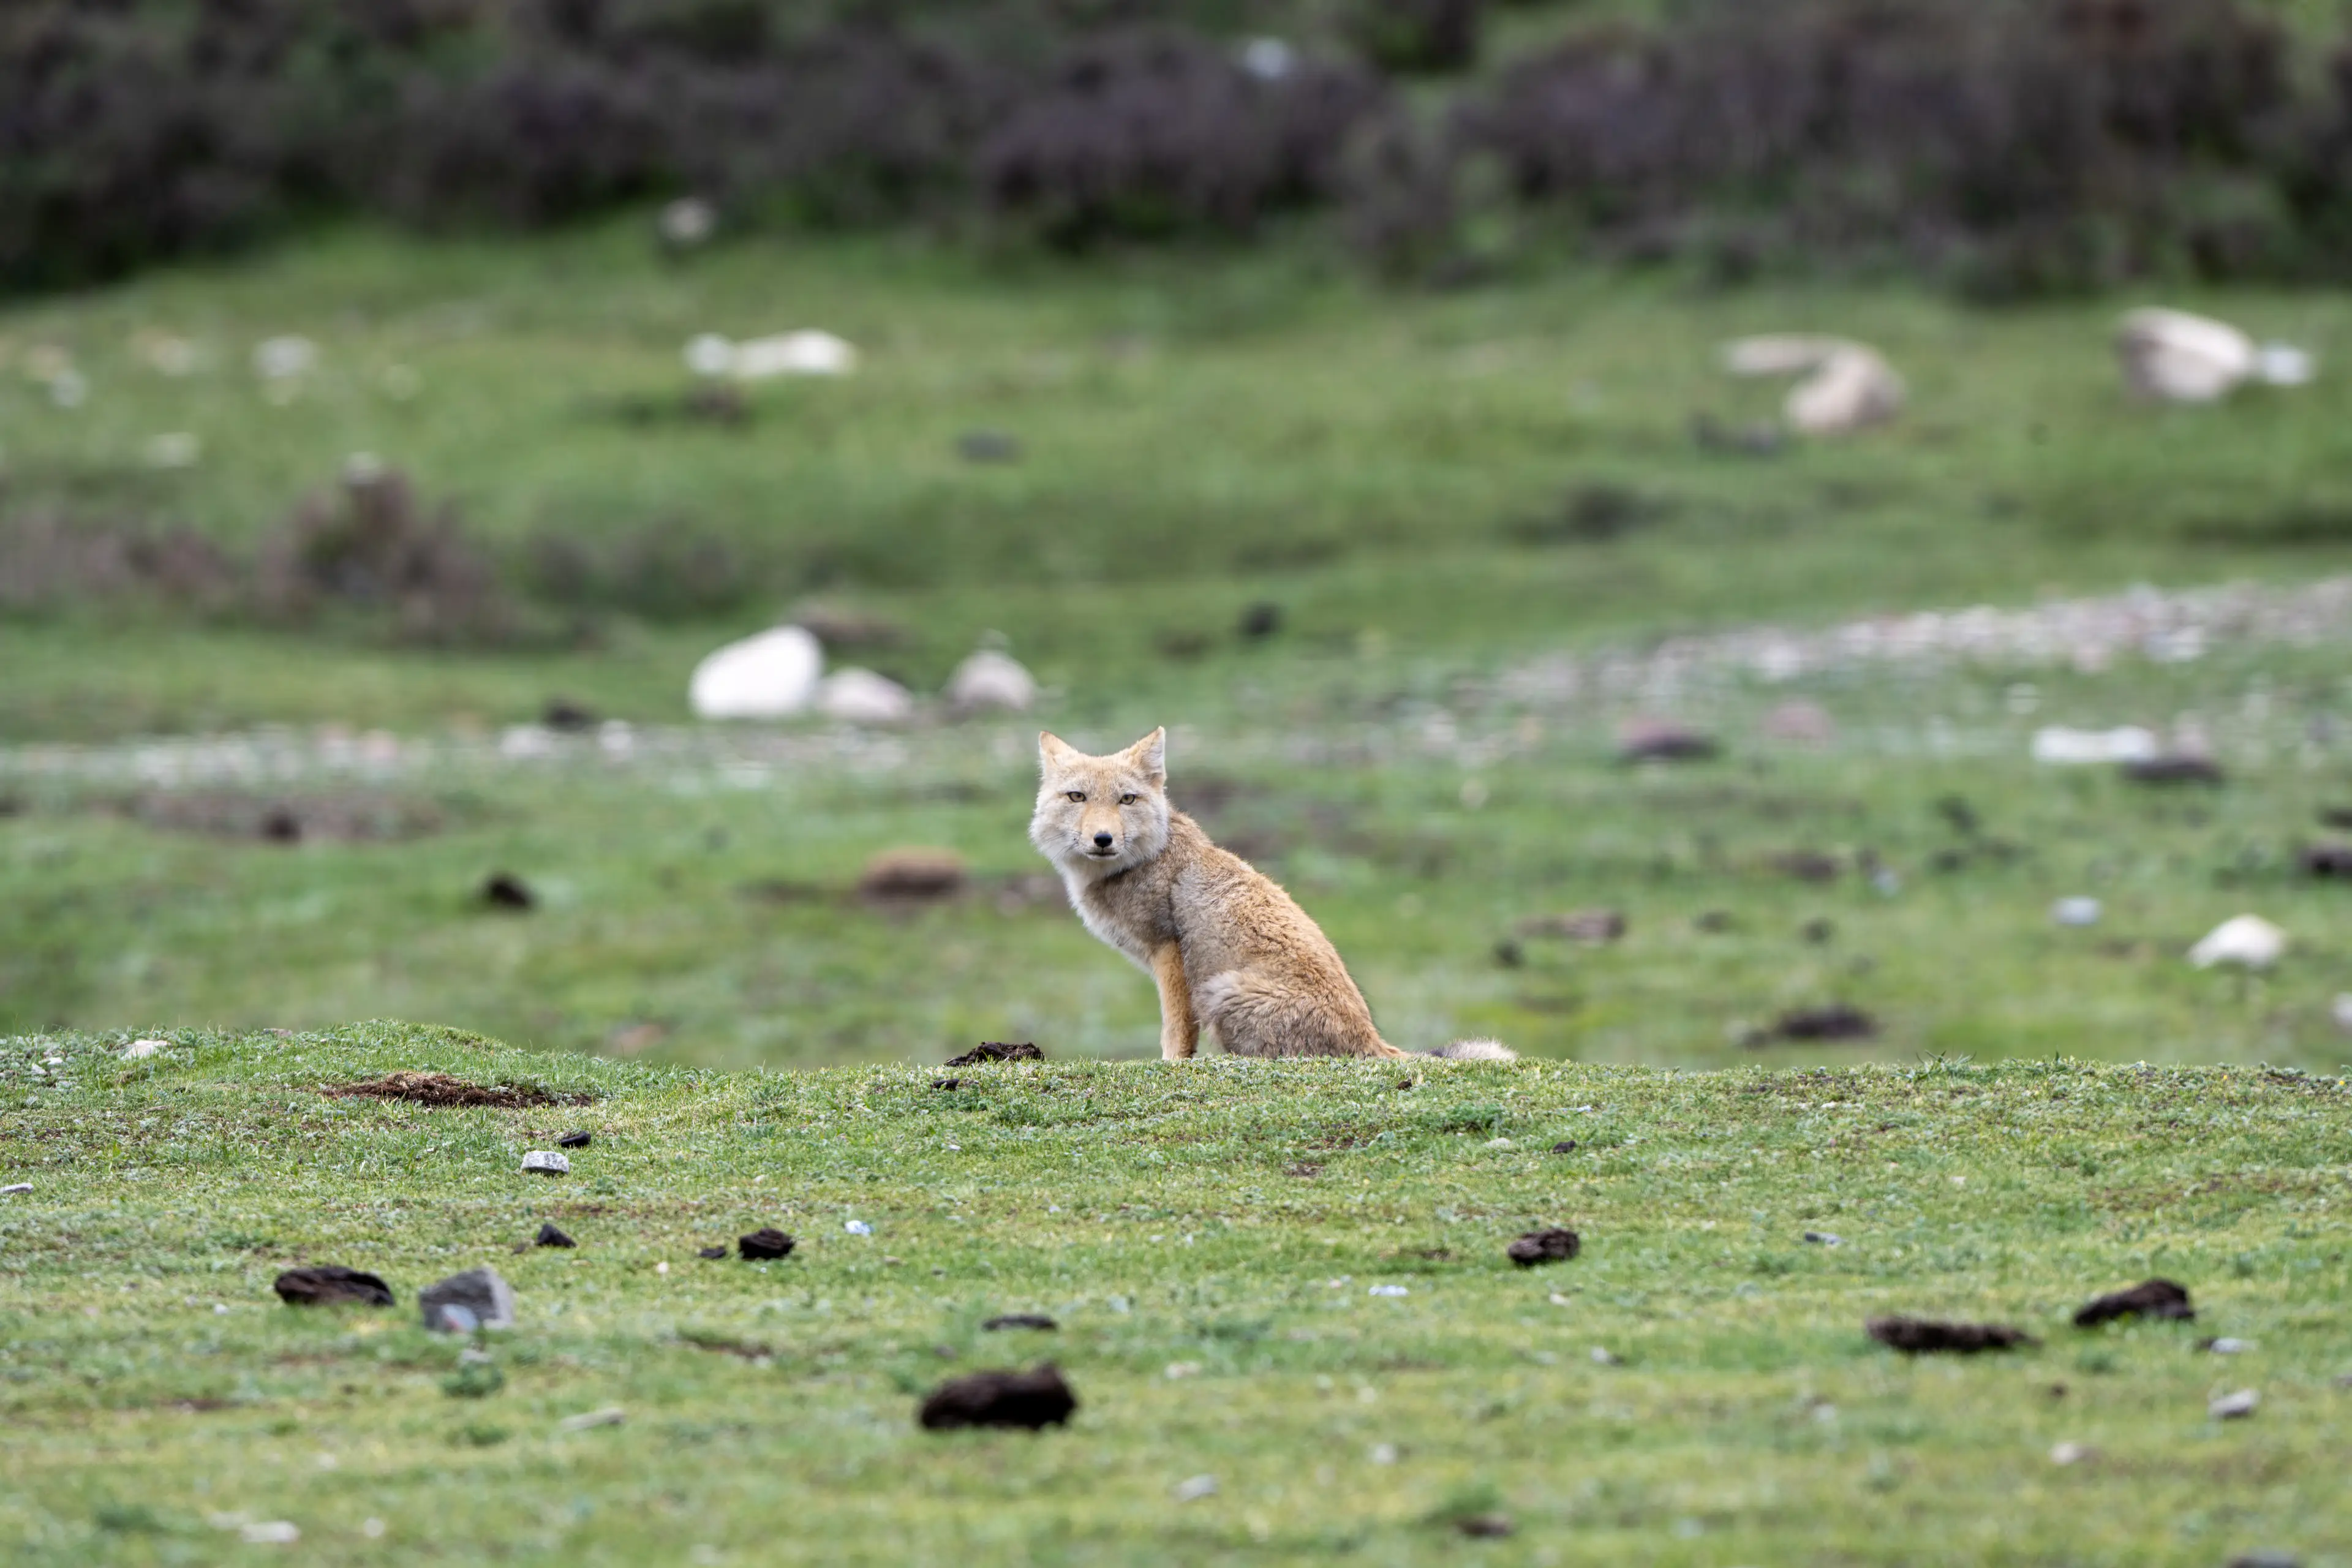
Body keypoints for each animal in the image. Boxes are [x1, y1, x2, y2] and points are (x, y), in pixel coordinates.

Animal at [1029, 728, 1514, 1063]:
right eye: (1077, 797)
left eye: (1127, 800)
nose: (1103, 839)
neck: (1146, 860)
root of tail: (1372, 1041)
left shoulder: (1170, 951)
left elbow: (1175, 1032)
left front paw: (1170, 1066)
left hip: (1220, 992)